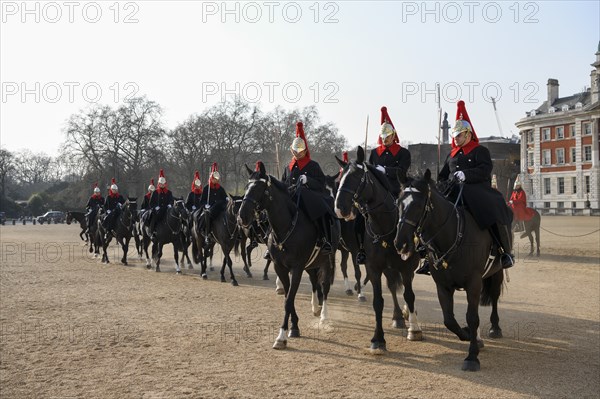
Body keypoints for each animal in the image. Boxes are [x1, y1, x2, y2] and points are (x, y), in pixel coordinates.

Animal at [237, 162, 336, 350]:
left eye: (259, 188)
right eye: (246, 187)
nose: (242, 217)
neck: (286, 227)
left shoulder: (296, 268)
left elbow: (289, 300)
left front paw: (282, 336)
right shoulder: (281, 267)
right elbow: (288, 298)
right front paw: (294, 326)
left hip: (328, 259)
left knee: (325, 285)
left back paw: (324, 316)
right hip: (311, 263)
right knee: (314, 280)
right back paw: (315, 307)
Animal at [336, 148, 424, 354]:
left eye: (357, 177)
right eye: (340, 178)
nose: (340, 208)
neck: (385, 226)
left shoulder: (406, 266)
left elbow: (409, 294)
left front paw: (414, 329)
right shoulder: (374, 268)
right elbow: (378, 301)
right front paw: (378, 339)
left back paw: (408, 314)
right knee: (391, 287)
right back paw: (398, 316)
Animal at [396, 170, 504, 372]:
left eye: (418, 204)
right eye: (398, 202)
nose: (401, 244)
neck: (454, 235)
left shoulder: (474, 282)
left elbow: (472, 317)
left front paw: (472, 356)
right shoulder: (443, 286)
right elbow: (449, 319)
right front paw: (468, 335)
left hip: (497, 271)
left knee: (494, 296)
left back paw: (495, 328)